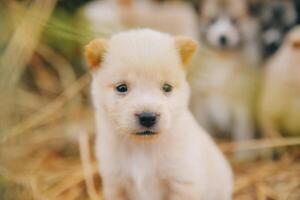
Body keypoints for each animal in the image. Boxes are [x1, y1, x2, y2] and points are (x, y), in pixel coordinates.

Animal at [85, 28, 233, 199]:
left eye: (167, 88)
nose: (147, 117)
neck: (142, 147)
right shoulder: (115, 183)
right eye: (121, 88)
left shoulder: (182, 183)